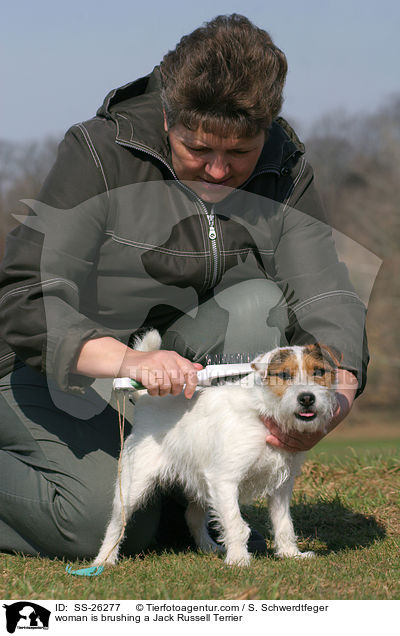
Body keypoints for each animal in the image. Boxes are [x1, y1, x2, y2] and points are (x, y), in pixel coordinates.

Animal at [93, 332, 338, 568]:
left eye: (318, 372)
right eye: (285, 375)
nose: (307, 398)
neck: (264, 412)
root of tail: (146, 401)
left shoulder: (281, 488)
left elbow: (284, 524)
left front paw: (291, 554)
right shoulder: (225, 481)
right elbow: (236, 524)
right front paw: (238, 559)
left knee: (192, 516)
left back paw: (209, 547)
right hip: (133, 484)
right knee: (116, 523)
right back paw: (104, 560)